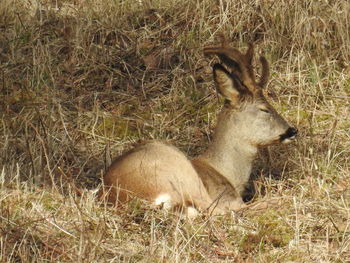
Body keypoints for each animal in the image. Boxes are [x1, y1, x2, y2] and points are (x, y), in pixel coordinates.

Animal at [100, 38, 298, 218]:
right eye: (264, 109)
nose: (292, 130)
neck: (227, 172)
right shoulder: (224, 195)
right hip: (182, 173)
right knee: (218, 211)